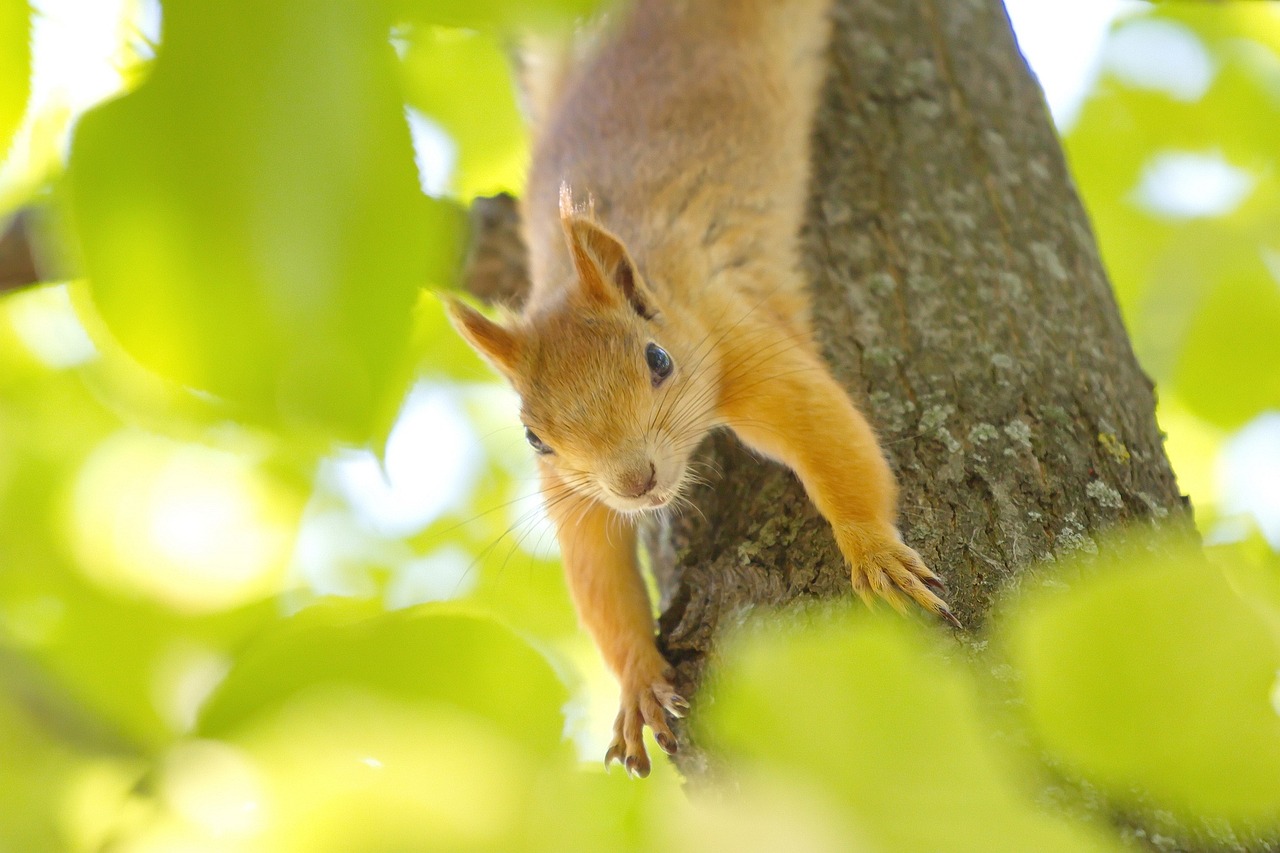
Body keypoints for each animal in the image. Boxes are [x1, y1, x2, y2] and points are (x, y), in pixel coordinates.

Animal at [445, 0, 957, 773]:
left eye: (658, 361)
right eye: (534, 436)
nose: (635, 482)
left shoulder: (735, 334)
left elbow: (828, 435)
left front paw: (872, 550)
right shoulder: (574, 493)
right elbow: (597, 568)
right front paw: (637, 680)